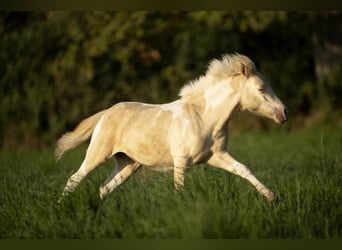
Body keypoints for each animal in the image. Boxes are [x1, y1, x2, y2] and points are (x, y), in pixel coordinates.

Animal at [56, 53, 288, 203]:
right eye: (261, 88)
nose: (284, 113)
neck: (205, 118)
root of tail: (106, 113)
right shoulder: (181, 160)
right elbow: (180, 189)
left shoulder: (217, 155)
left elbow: (243, 169)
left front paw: (271, 197)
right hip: (98, 154)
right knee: (75, 178)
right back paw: (60, 206)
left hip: (128, 164)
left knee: (105, 187)